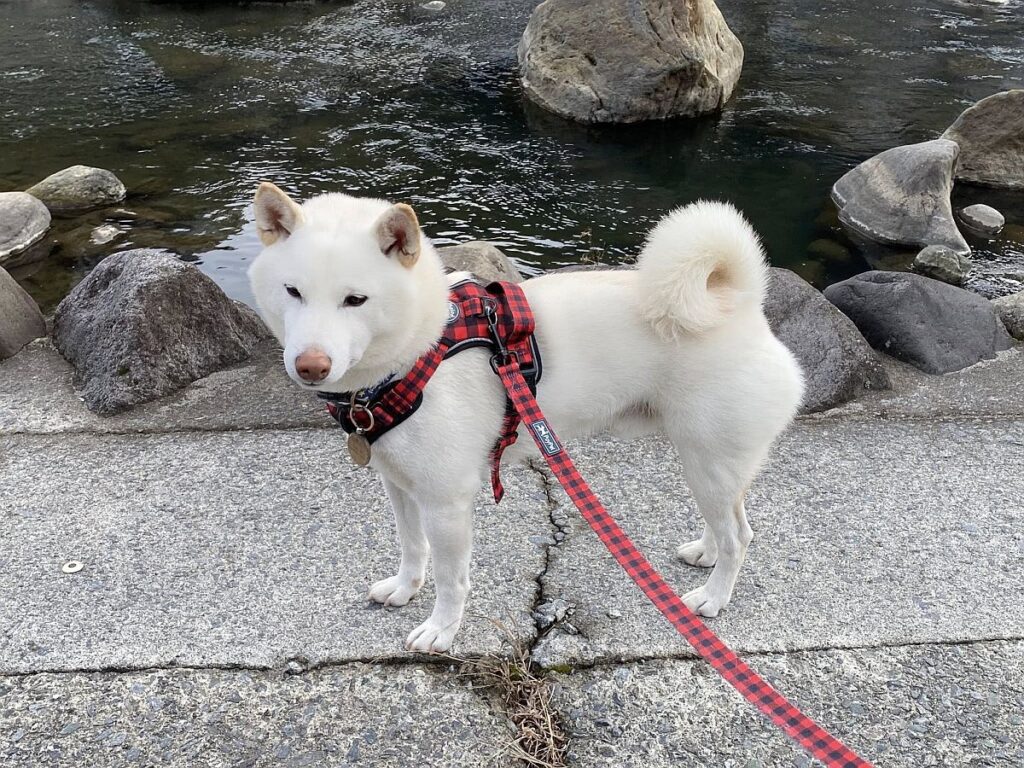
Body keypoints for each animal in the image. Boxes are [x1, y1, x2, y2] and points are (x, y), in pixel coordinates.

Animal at [248, 183, 804, 653]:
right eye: (293, 291)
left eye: (356, 299)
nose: (310, 365)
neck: (418, 351)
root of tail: (740, 305)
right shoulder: (400, 484)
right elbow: (411, 548)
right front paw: (406, 588)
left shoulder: (446, 501)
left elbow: (450, 578)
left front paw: (441, 630)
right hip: (710, 463)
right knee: (730, 520)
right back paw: (705, 553)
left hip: (707, 461)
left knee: (740, 536)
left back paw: (713, 597)